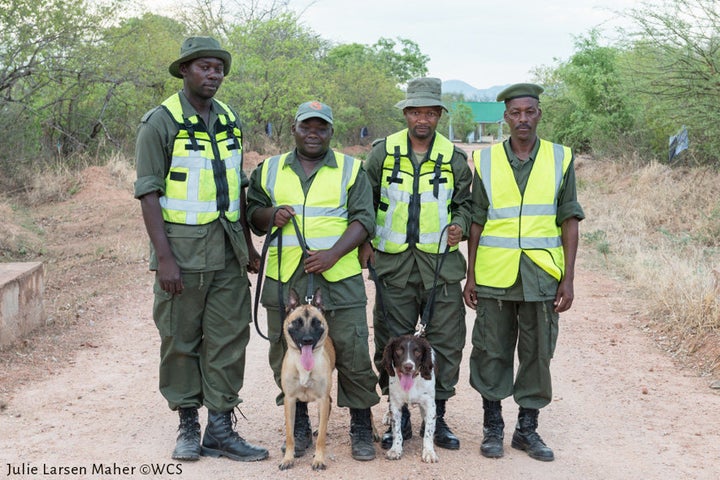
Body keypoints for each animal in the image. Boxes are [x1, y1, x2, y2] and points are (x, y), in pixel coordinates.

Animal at [282, 286, 338, 470]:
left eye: (315, 322)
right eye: (297, 322)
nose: (307, 340)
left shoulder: (321, 398)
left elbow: (321, 439)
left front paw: (319, 459)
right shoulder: (290, 400)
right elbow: (290, 435)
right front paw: (288, 458)